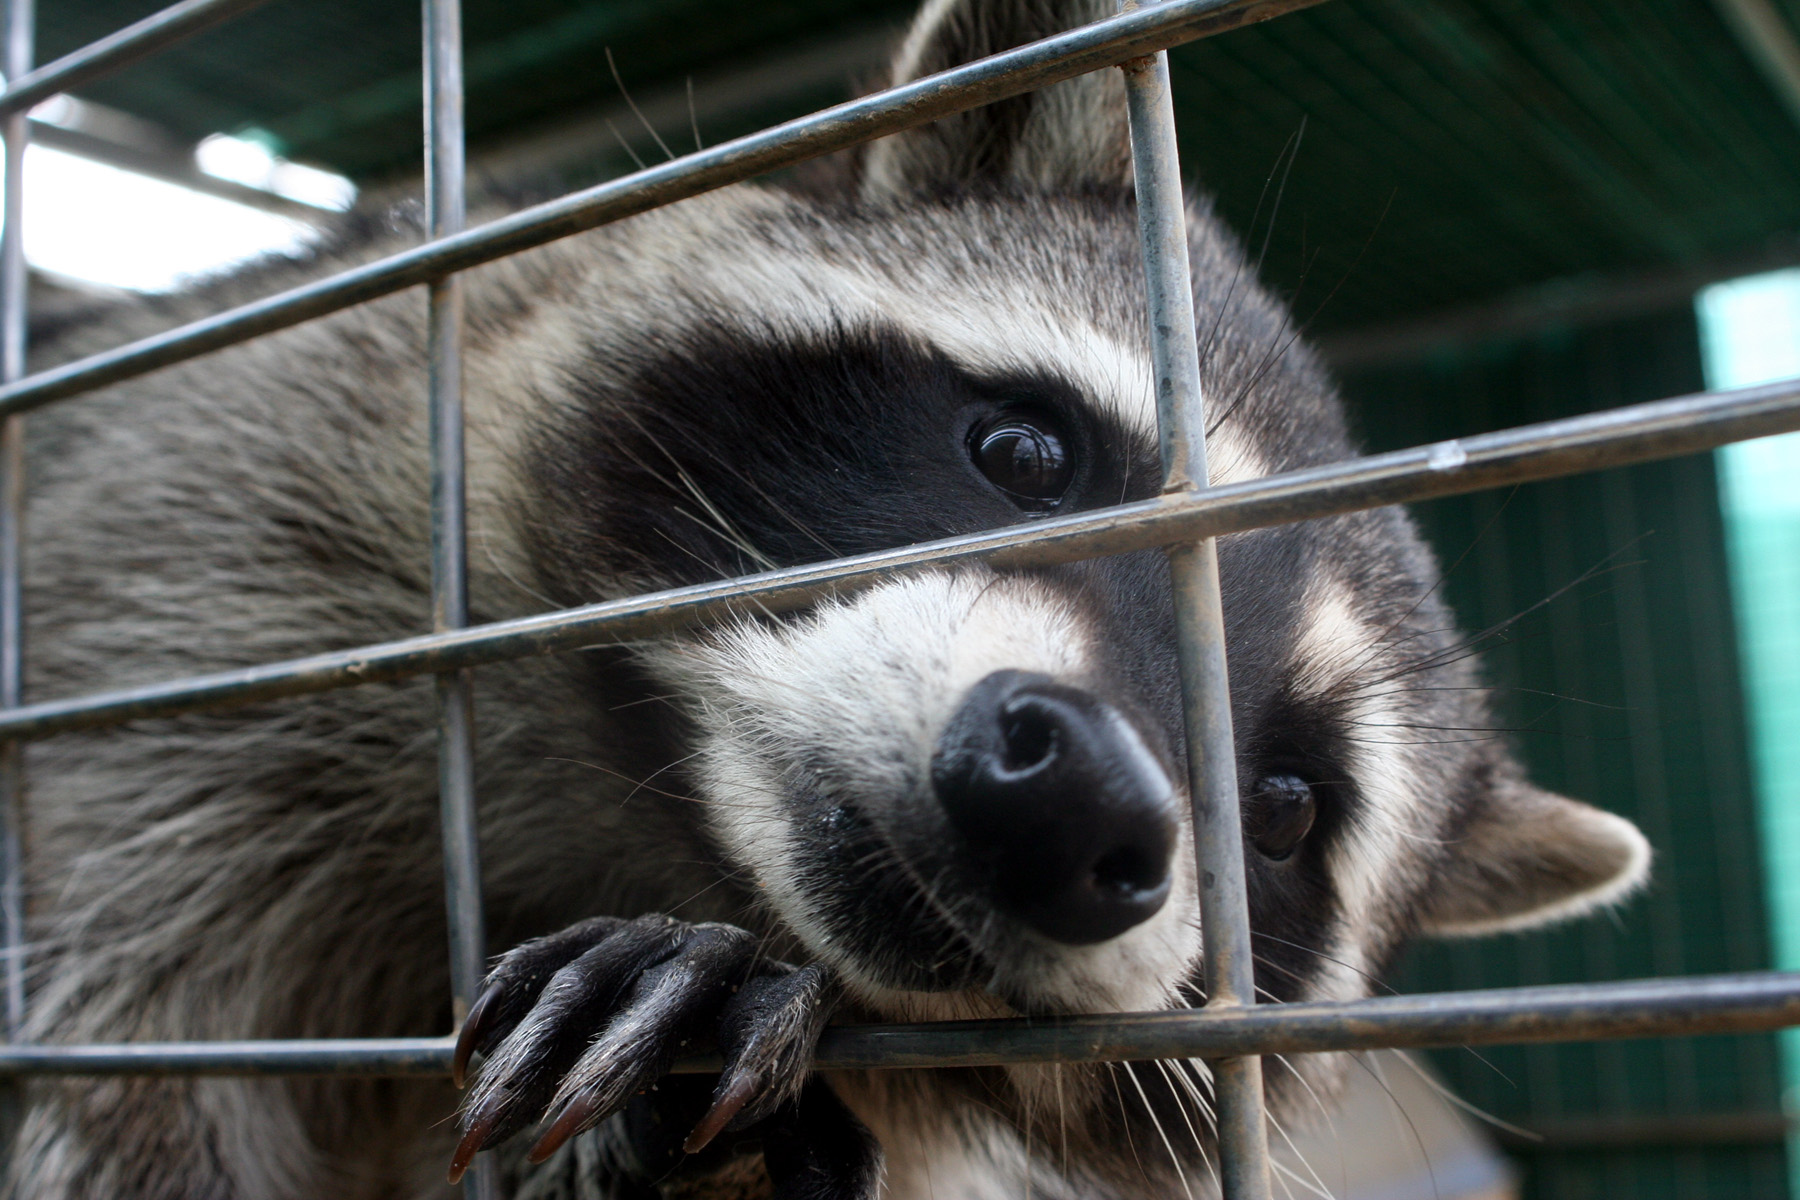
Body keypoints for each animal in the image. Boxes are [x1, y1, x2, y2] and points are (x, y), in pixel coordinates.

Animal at [12, 0, 1649, 1196]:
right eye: (1025, 452)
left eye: (1293, 811)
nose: (1082, 801)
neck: (669, 814)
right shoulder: (202, 551)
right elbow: (107, 1074)